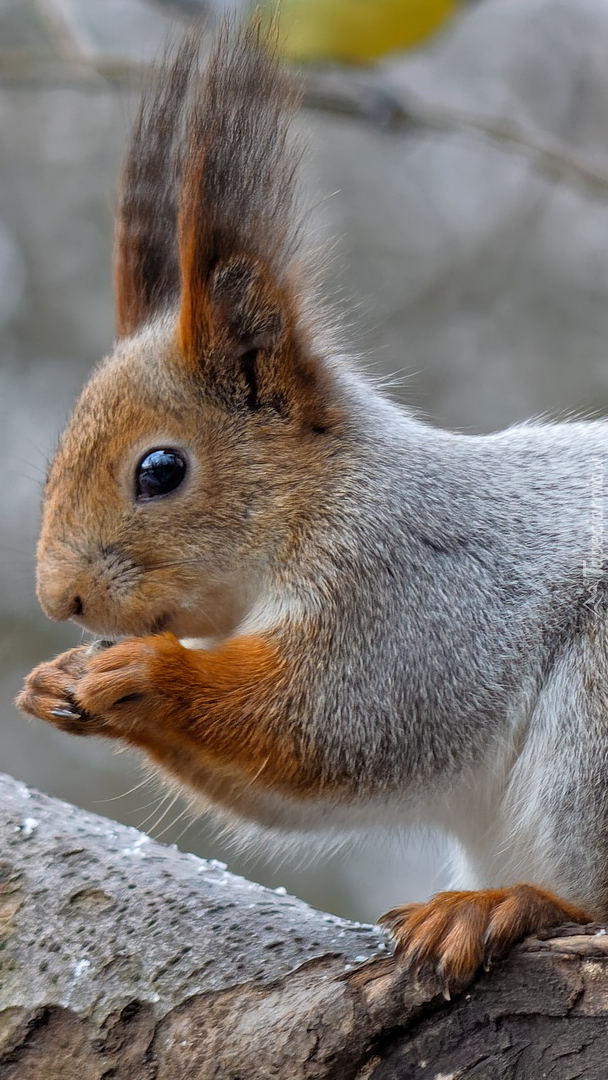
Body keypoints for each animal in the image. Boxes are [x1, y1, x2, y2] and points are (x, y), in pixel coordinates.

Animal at [15, 19, 604, 993]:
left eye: (161, 469)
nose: (61, 600)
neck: (316, 504)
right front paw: (55, 682)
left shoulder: (413, 593)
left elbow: (331, 725)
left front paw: (150, 673)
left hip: (597, 721)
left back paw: (508, 904)